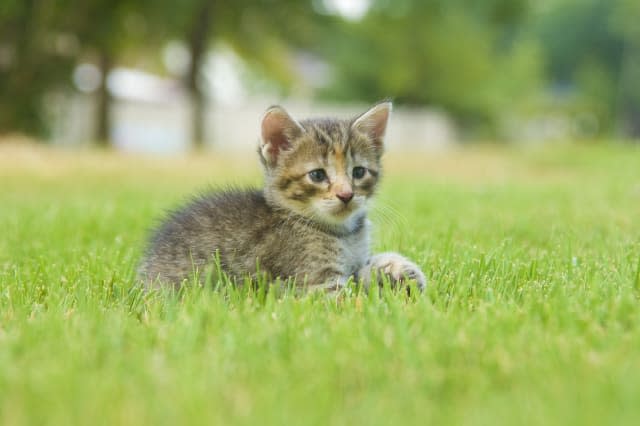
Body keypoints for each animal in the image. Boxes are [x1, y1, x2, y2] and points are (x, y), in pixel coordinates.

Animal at [139, 101, 428, 292]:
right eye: (317, 175)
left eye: (358, 172)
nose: (346, 194)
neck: (343, 233)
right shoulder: (316, 282)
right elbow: (351, 297)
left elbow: (363, 269)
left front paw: (398, 269)